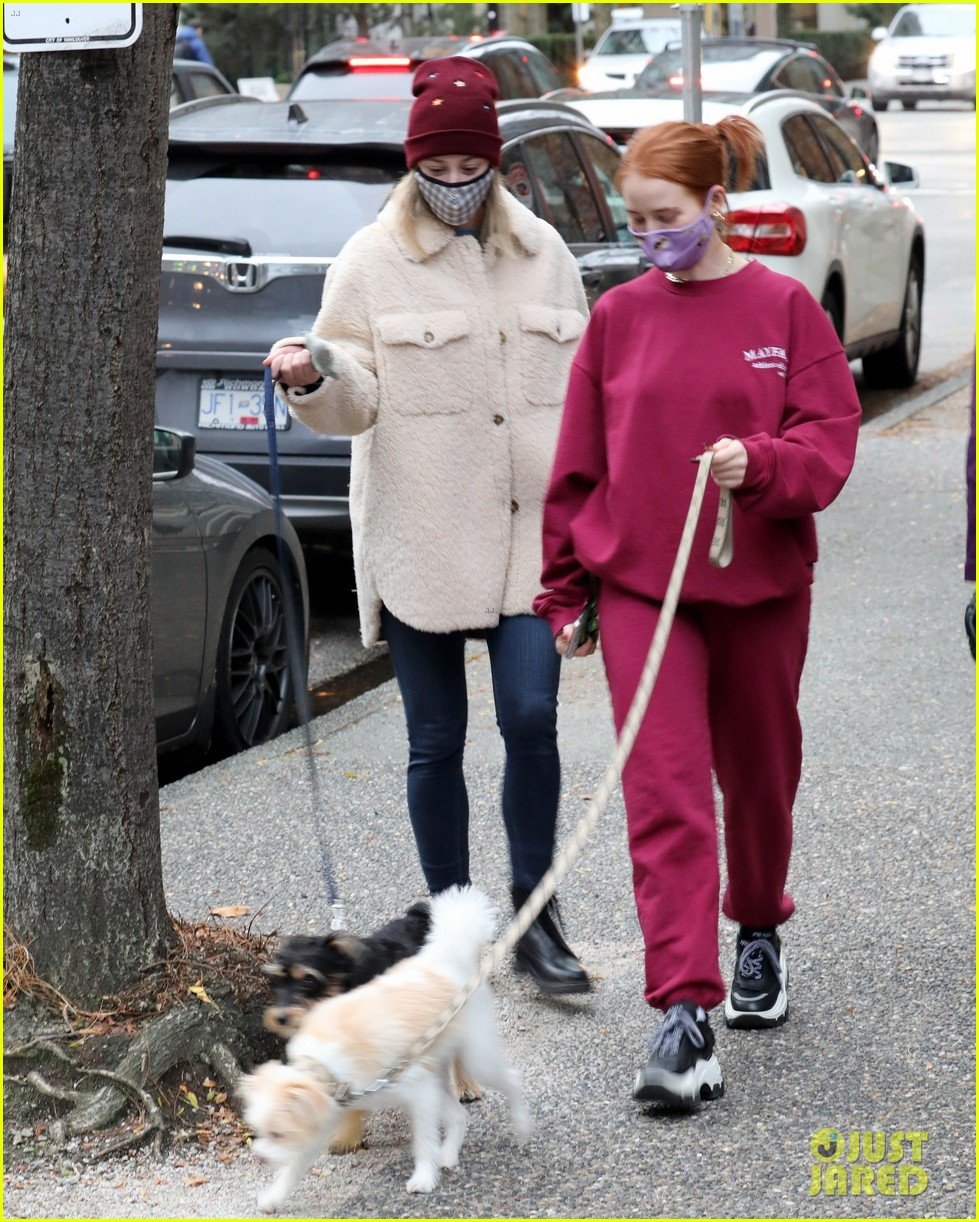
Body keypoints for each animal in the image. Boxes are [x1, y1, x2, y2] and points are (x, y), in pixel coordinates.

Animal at [239, 889, 530, 1212]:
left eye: (308, 981)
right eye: (275, 981)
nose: (259, 1157)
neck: (324, 1069)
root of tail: (446, 956)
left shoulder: (417, 1092)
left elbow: (423, 1141)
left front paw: (423, 1177)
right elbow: (294, 1167)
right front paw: (273, 1196)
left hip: (476, 1057)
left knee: (509, 1079)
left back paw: (518, 1124)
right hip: (435, 1068)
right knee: (458, 1115)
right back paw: (449, 1154)